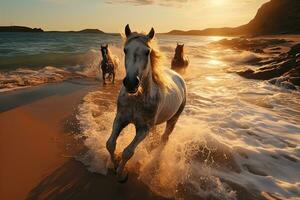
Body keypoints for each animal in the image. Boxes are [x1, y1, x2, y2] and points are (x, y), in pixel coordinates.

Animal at [105, 25, 185, 183]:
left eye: (147, 51)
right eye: (125, 49)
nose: (131, 83)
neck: (136, 99)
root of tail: (178, 77)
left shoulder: (143, 129)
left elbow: (128, 152)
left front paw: (121, 174)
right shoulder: (120, 119)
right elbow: (110, 144)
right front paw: (115, 163)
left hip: (173, 119)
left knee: (164, 139)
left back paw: (155, 160)